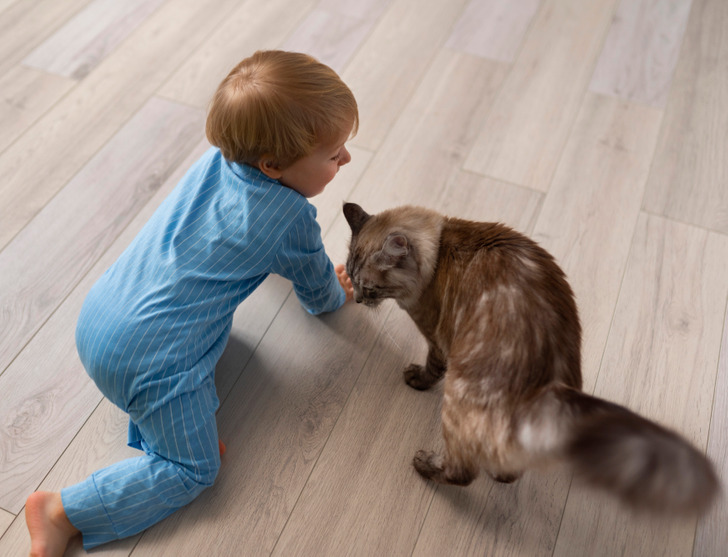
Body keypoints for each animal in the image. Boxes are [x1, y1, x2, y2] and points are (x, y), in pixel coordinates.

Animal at [343, 202, 718, 515]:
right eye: (352, 277)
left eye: (370, 288)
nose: (357, 300)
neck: (441, 246)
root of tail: (547, 380)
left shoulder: (436, 336)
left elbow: (432, 366)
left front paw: (416, 378)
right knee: (508, 471)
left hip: (458, 398)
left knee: (463, 471)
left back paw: (424, 464)